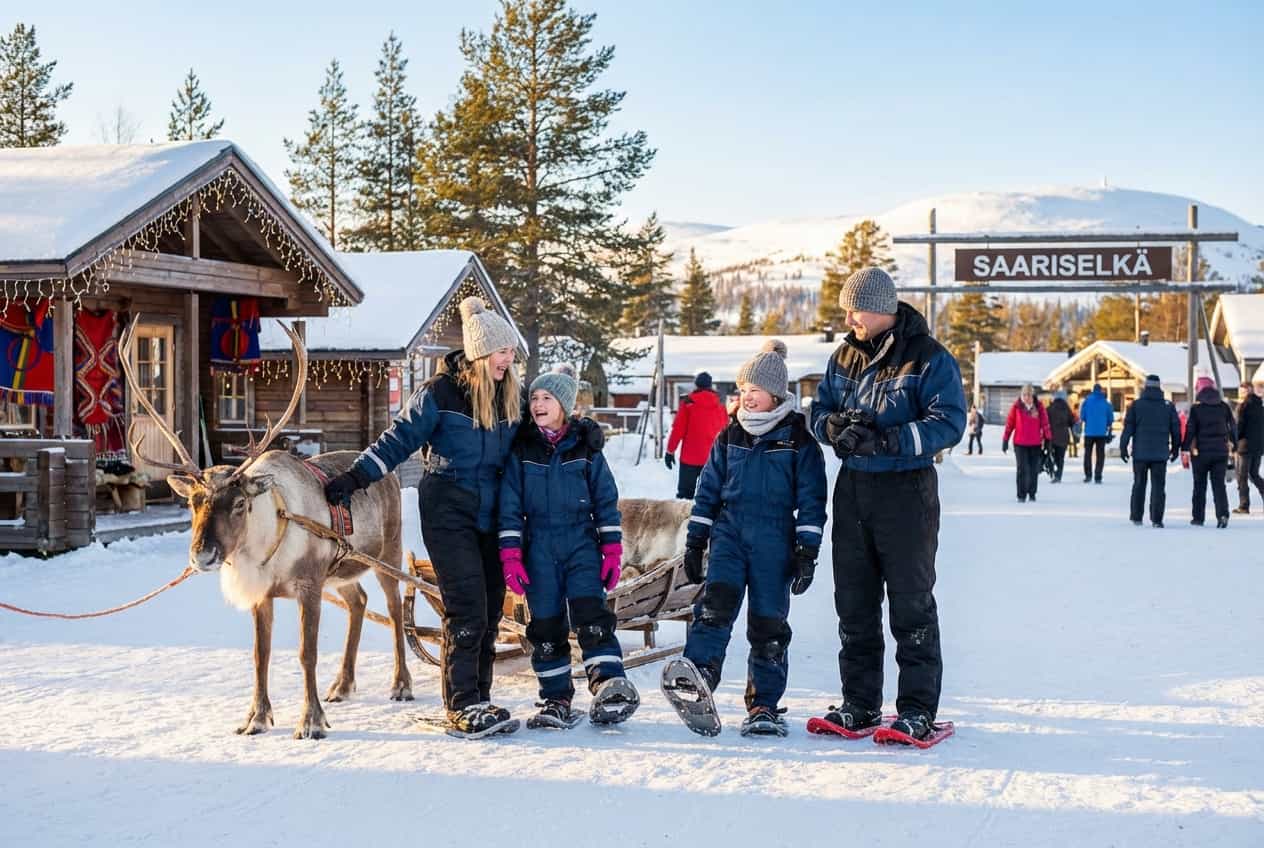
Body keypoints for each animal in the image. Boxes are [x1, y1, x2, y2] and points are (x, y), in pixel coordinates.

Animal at [120, 317, 412, 740]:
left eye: (240, 503)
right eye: (193, 502)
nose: (202, 555)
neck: (262, 549)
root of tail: (387, 474)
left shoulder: (309, 586)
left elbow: (307, 653)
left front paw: (311, 721)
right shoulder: (263, 595)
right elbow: (261, 655)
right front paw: (255, 717)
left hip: (388, 552)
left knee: (395, 608)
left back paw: (401, 684)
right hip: (340, 572)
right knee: (358, 601)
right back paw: (342, 684)